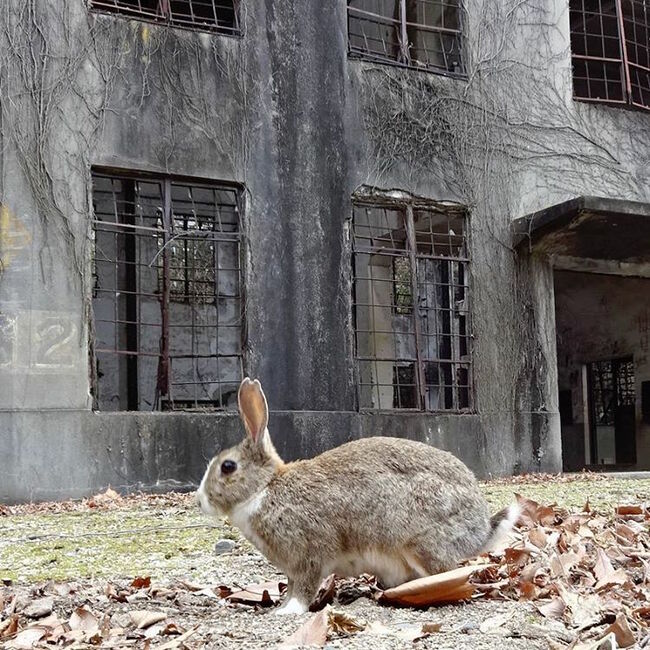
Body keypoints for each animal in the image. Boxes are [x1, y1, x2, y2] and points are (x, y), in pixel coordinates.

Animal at [195, 374, 520, 612]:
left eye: (227, 467)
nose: (200, 501)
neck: (265, 488)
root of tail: (479, 530)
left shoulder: (309, 554)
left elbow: (304, 588)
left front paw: (288, 612)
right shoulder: (292, 567)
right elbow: (293, 586)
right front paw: (281, 606)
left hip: (421, 541)